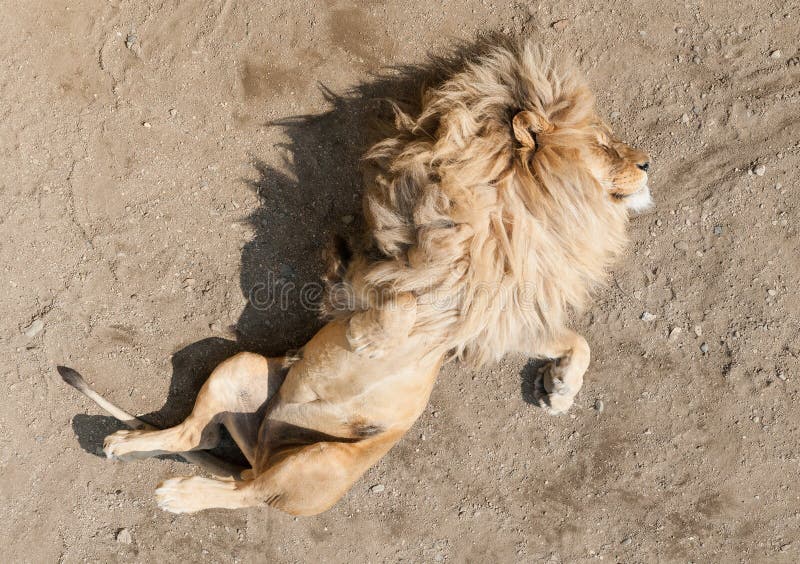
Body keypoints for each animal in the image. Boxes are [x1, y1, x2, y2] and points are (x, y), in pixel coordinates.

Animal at [62, 36, 648, 516]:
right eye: (605, 144)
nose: (647, 164)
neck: (518, 209)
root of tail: (264, 451)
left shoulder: (483, 315)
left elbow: (571, 338)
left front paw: (561, 392)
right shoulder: (369, 264)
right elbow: (403, 303)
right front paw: (371, 340)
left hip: (317, 457)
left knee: (242, 489)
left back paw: (179, 492)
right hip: (244, 369)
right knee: (200, 446)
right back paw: (130, 450)